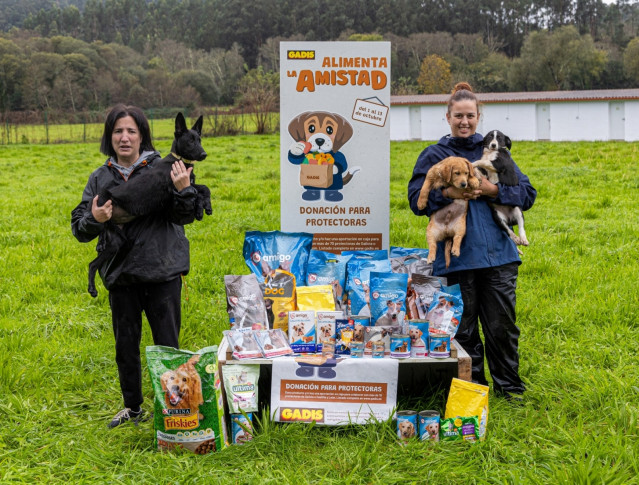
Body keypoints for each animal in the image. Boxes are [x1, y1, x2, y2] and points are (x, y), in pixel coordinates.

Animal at [87, 112, 214, 294]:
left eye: (199, 140)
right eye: (190, 141)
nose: (203, 154)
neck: (179, 161)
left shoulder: (185, 185)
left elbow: (203, 189)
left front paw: (204, 208)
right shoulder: (173, 189)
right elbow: (198, 191)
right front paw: (200, 208)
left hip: (117, 240)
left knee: (95, 262)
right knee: (92, 265)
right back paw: (92, 288)